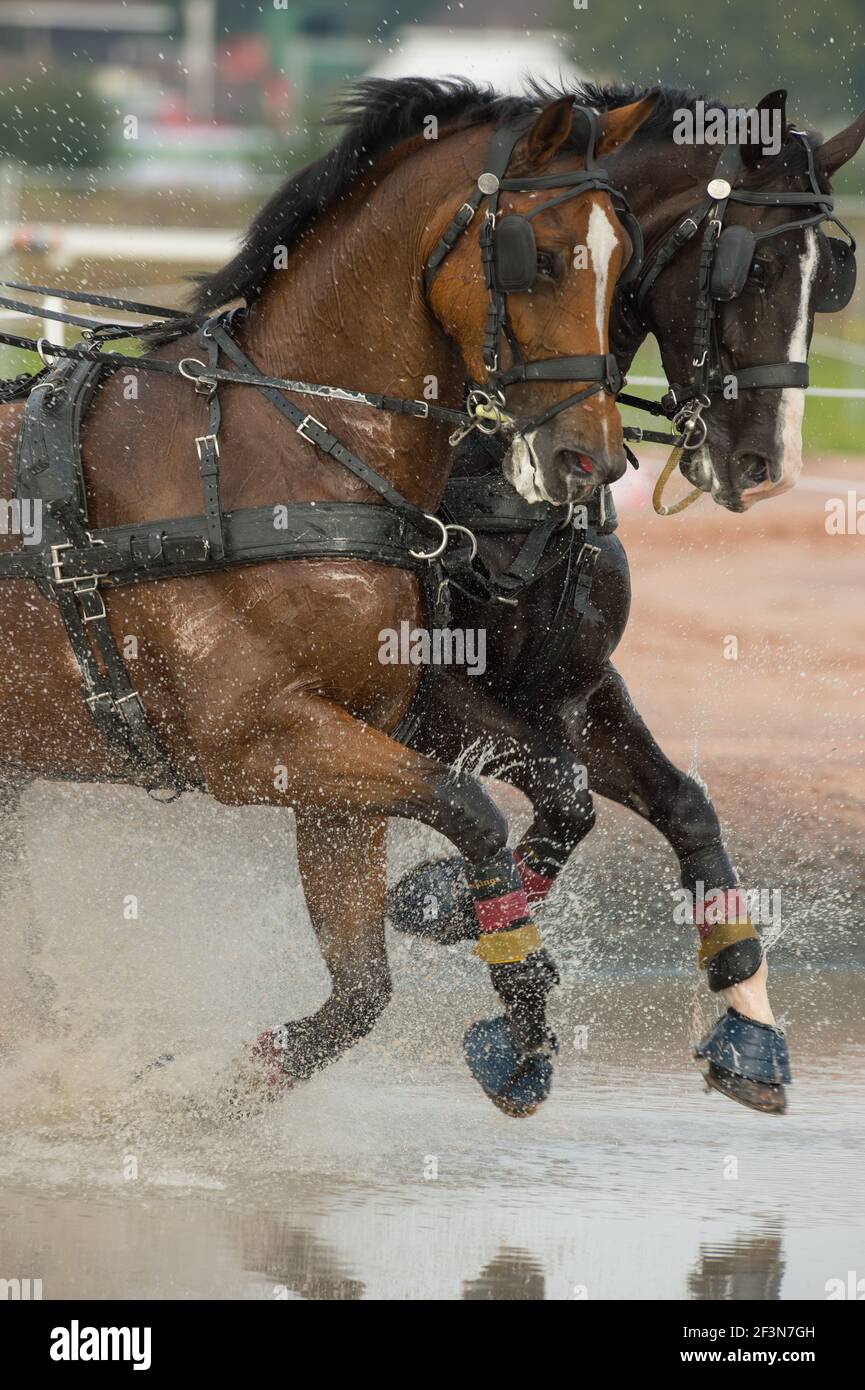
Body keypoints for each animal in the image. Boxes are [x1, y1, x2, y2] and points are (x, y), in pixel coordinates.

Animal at [0, 82, 658, 1118]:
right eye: (540, 256)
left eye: (624, 258)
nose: (589, 461)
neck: (288, 453)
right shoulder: (257, 744)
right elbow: (467, 806)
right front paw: (518, 1006)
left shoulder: (356, 743)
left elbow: (362, 989)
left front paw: (220, 1086)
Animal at [389, 84, 865, 1115]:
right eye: (750, 266)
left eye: (832, 276)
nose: (768, 467)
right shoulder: (421, 695)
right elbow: (564, 799)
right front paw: (447, 901)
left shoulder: (572, 691)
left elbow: (676, 804)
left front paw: (746, 1021)